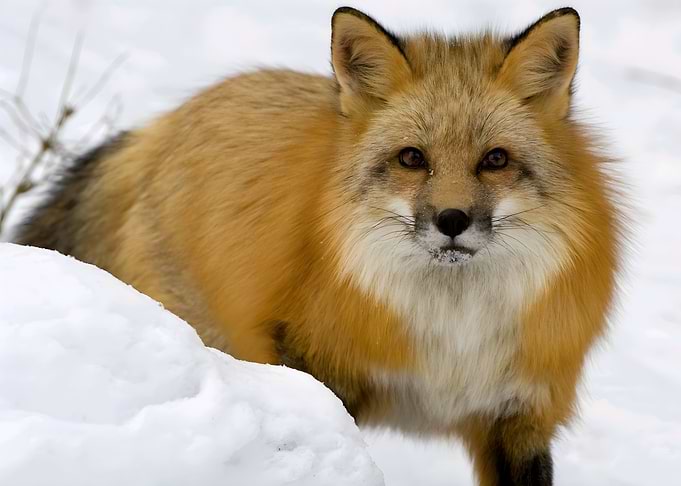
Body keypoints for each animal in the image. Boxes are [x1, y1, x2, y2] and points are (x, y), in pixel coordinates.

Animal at [14, 6, 621, 486]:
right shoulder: (319, 368)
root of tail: (165, 124)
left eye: (495, 159)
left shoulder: (518, 415)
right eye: (412, 158)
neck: (452, 336)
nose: (452, 220)